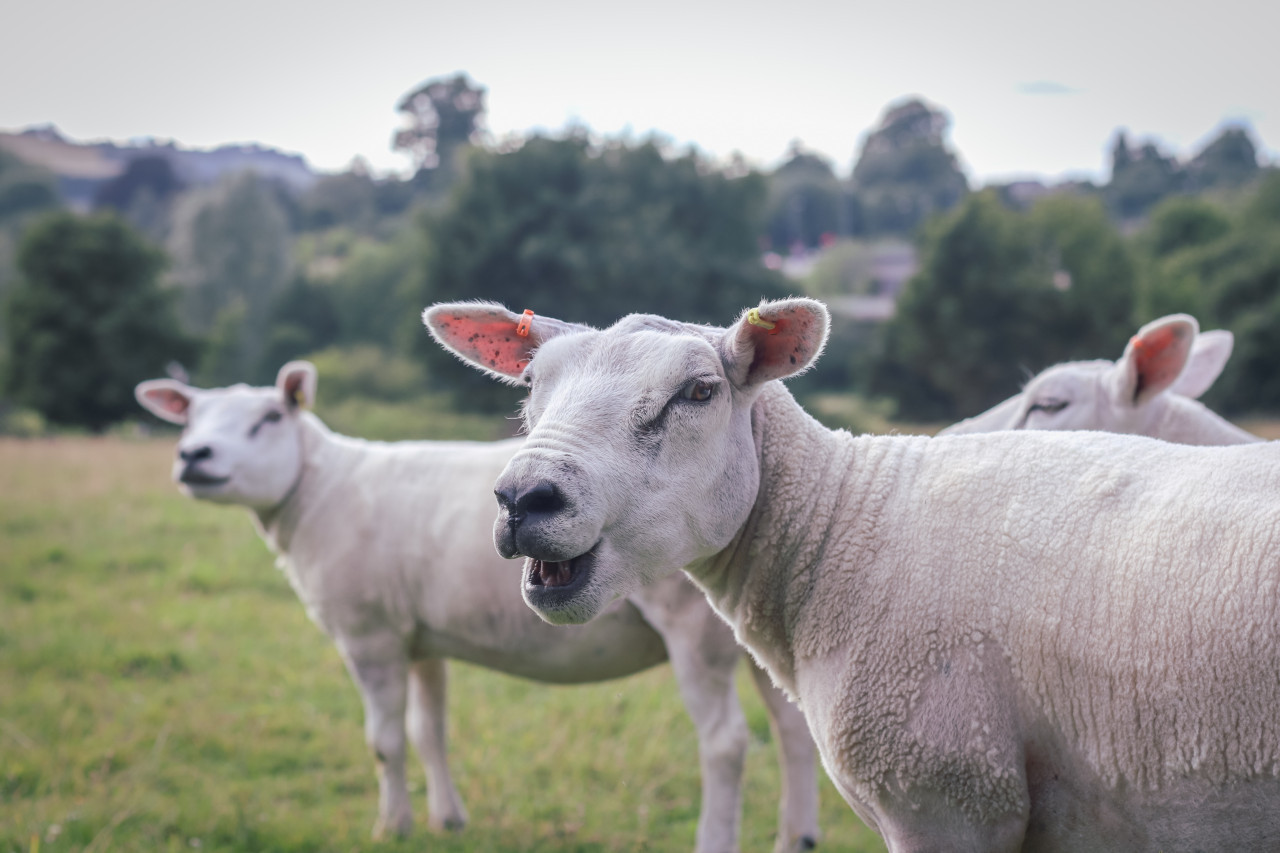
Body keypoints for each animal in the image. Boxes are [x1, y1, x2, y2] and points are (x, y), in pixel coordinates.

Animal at [135, 358, 819, 850]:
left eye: (270, 419)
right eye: (188, 421)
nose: (194, 457)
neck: (316, 491)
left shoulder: (370, 635)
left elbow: (385, 741)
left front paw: (391, 828)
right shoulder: (420, 637)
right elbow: (429, 731)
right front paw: (447, 821)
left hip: (694, 629)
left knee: (726, 743)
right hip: (759, 622)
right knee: (792, 731)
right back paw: (798, 838)